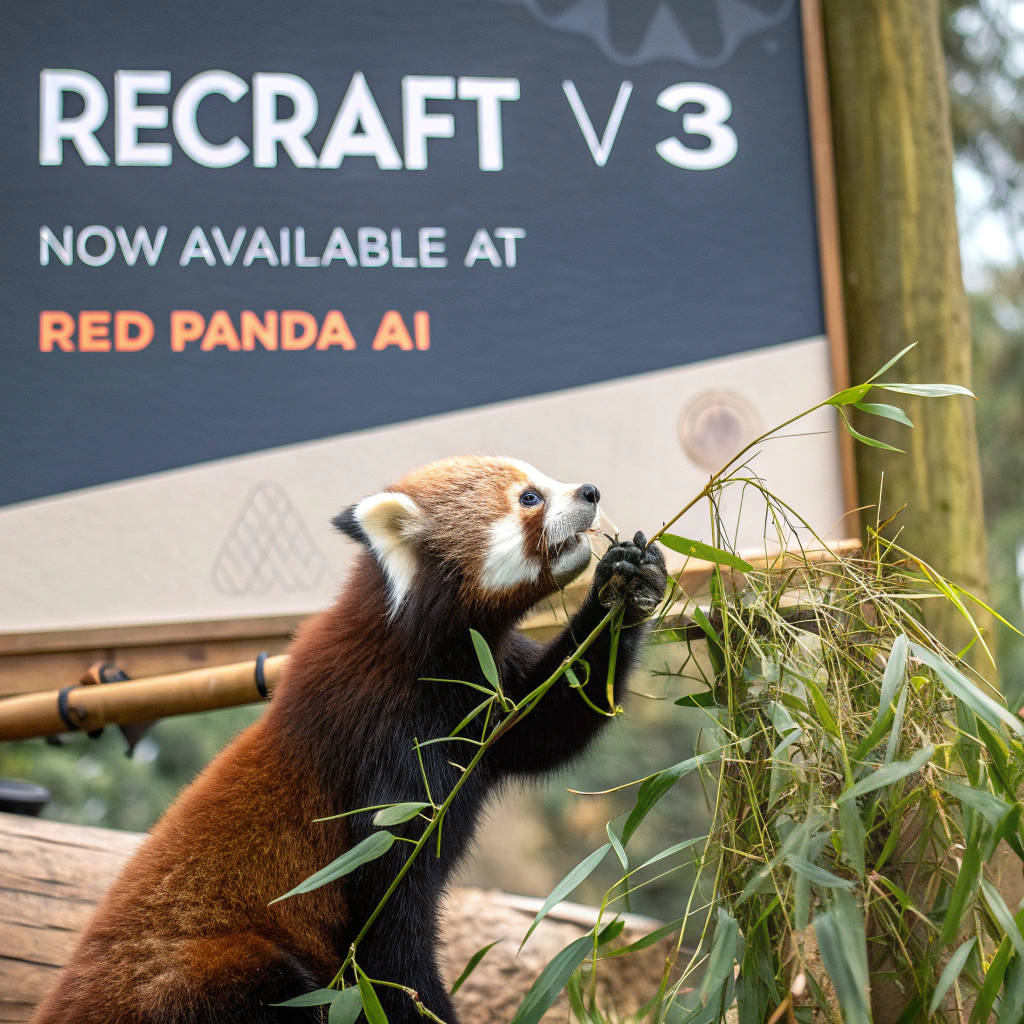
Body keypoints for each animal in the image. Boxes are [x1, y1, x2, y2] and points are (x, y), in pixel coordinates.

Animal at [32, 455, 668, 1024]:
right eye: (529, 497)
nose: (589, 490)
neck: (427, 650)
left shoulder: (489, 691)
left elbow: (551, 723)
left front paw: (628, 578)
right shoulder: (383, 737)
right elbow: (387, 927)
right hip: (202, 973)